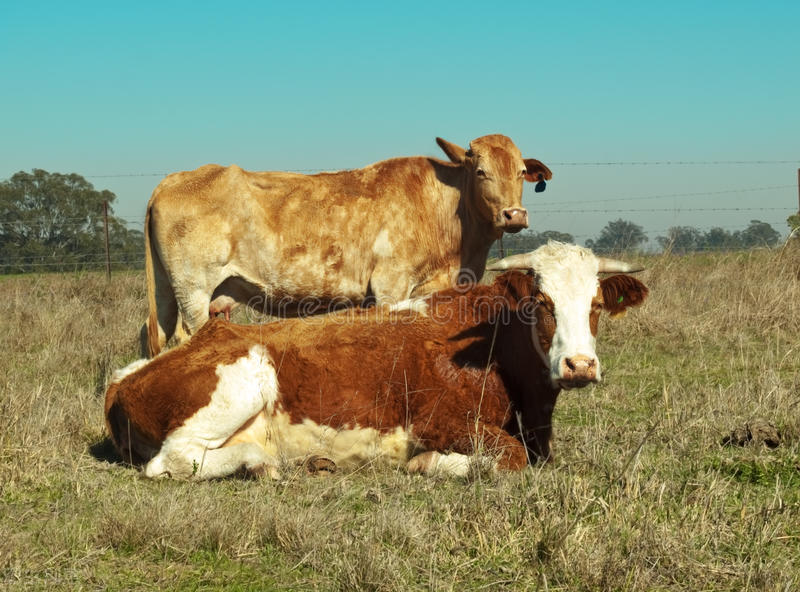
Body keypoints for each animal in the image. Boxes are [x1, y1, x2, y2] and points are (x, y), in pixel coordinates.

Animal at [109, 243, 648, 478]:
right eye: (541, 303)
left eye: (596, 305)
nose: (580, 365)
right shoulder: (439, 420)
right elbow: (508, 458)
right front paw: (430, 463)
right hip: (245, 379)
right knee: (173, 460)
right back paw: (264, 462)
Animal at [142, 134, 552, 356]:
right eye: (481, 172)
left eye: (521, 173)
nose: (514, 215)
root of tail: (172, 180)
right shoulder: (389, 285)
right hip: (194, 290)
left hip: (167, 290)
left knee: (157, 334)